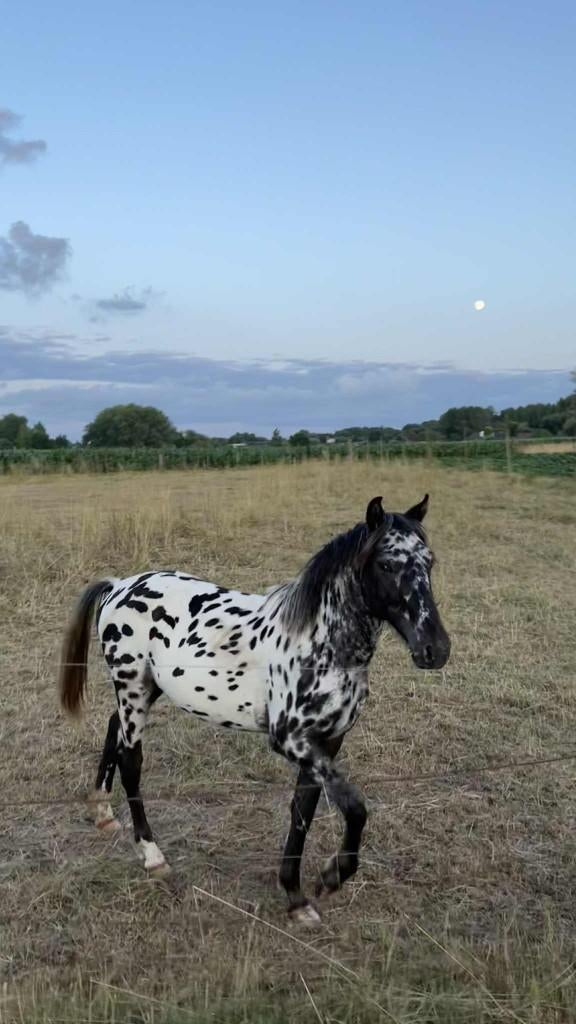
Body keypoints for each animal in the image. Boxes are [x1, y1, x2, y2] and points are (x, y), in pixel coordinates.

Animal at [59, 493, 450, 924]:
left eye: (430, 562)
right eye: (386, 564)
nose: (435, 649)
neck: (319, 645)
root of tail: (119, 586)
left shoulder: (327, 743)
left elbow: (303, 812)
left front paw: (297, 898)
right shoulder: (291, 740)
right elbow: (355, 808)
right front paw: (330, 878)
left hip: (147, 689)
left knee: (114, 728)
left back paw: (101, 810)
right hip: (131, 685)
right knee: (131, 759)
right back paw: (152, 855)